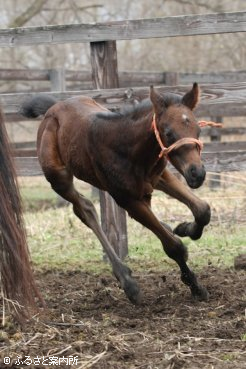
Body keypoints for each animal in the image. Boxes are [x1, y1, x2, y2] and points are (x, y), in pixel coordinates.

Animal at [21, 85, 211, 304]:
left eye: (198, 130)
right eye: (169, 133)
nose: (197, 173)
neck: (127, 147)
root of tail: (53, 107)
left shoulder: (160, 177)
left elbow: (203, 210)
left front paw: (186, 228)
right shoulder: (126, 199)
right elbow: (175, 247)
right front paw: (196, 287)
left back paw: (168, 228)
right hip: (59, 178)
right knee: (85, 209)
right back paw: (127, 281)